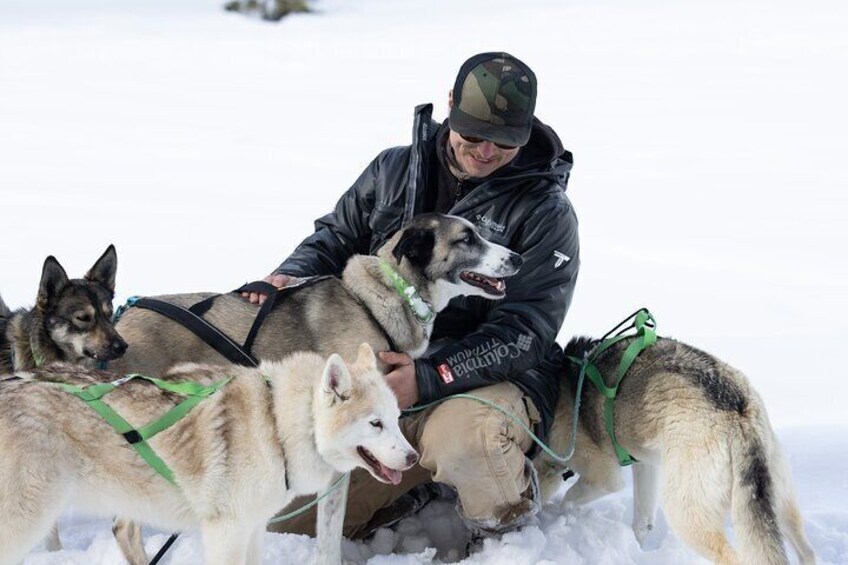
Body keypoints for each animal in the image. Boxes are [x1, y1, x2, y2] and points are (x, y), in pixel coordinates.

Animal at [0, 342, 418, 560]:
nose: (413, 458)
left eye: (396, 418)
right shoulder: (224, 532)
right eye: (375, 424)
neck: (277, 423)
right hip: (24, 522)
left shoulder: (251, 527)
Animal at [532, 338, 820, 560]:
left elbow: (568, 499)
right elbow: (642, 521)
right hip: (778, 505)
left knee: (732, 556)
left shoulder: (604, 477)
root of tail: (736, 408)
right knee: (806, 550)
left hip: (684, 511)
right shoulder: (644, 464)